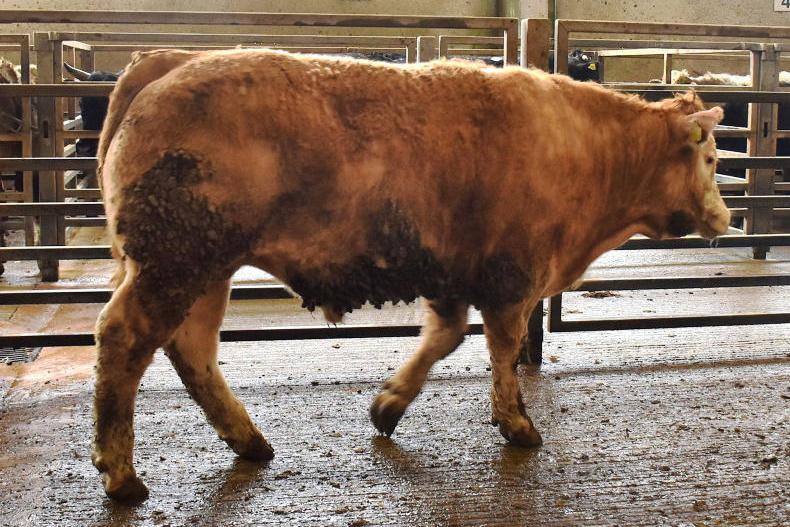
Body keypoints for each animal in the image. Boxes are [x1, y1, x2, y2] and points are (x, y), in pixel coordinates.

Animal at [92, 49, 729, 502]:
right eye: (711, 157)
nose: (723, 217)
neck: (585, 145)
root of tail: (172, 62)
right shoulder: (512, 280)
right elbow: (504, 348)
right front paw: (518, 424)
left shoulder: (451, 277)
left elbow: (443, 338)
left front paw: (389, 405)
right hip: (176, 263)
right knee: (127, 339)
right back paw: (121, 474)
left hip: (204, 269)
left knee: (192, 349)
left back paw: (249, 442)